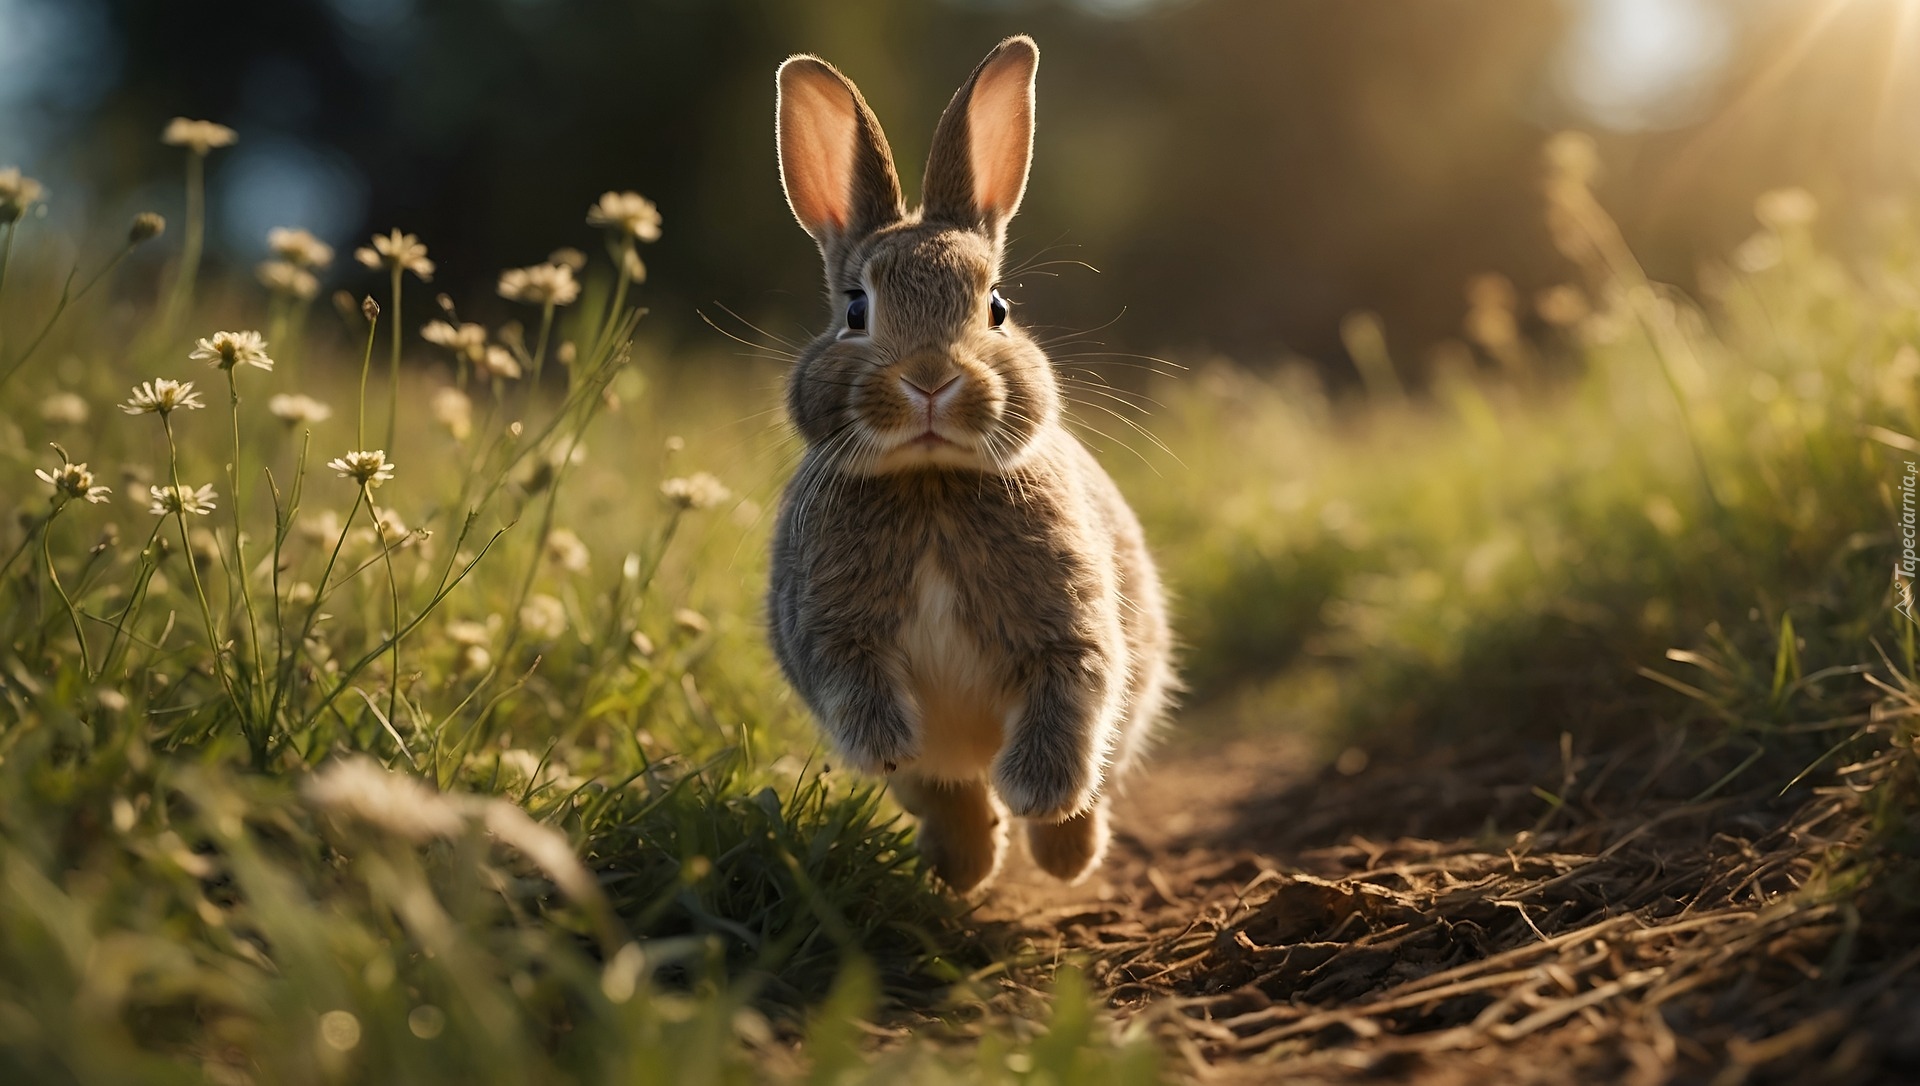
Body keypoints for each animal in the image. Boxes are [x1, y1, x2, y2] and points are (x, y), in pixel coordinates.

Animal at [764, 38, 1167, 897]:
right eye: (855, 310)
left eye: (997, 309)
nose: (929, 380)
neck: (931, 486)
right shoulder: (834, 640)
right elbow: (869, 709)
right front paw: (893, 748)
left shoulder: (1071, 634)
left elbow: (1070, 703)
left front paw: (1038, 796)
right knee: (947, 791)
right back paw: (963, 866)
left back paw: (1061, 854)